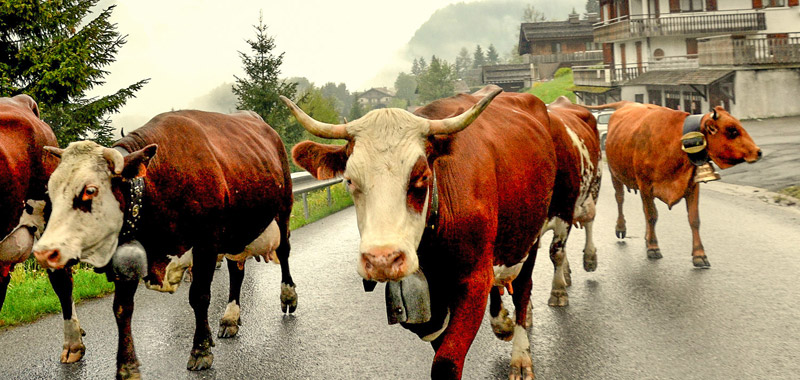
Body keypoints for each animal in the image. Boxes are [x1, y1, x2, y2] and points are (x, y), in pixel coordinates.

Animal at [32, 108, 296, 378]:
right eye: (50, 191)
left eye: (90, 190)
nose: (44, 251)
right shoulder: (126, 258)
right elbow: (122, 309)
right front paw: (126, 366)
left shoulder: (206, 244)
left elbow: (199, 296)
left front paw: (201, 350)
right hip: (238, 233)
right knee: (237, 269)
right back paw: (231, 317)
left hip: (283, 208)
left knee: (284, 252)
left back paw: (287, 296)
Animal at [286, 87, 556, 380]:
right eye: (349, 180)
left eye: (422, 177)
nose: (382, 260)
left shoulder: (474, 279)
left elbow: (446, 362)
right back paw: (501, 323)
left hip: (532, 234)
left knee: (523, 289)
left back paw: (520, 356)